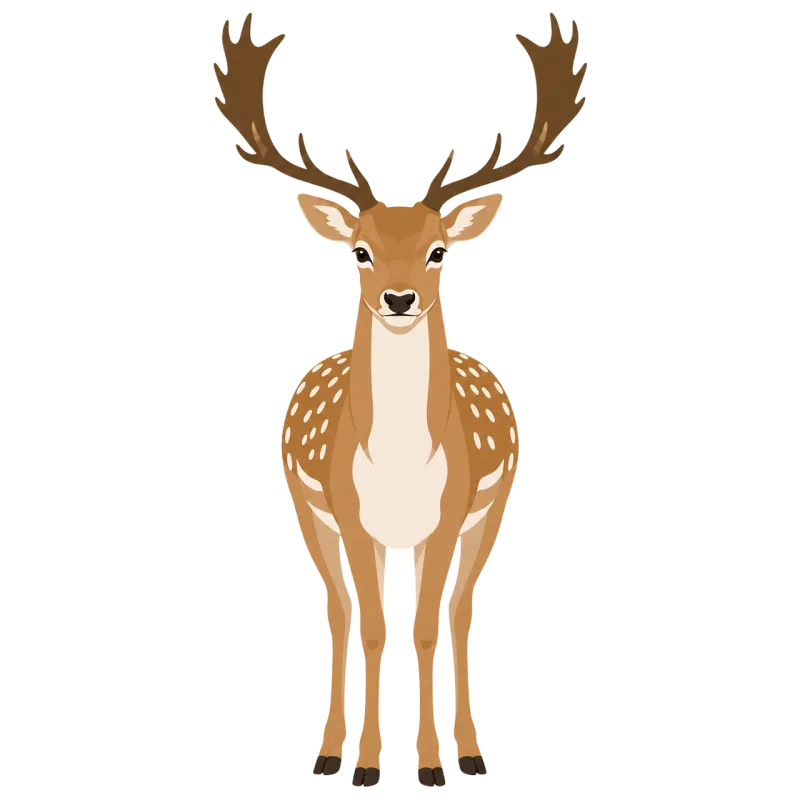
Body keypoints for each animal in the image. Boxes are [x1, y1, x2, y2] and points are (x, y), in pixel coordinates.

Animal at [214, 12, 586, 788]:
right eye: (358, 250)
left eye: (440, 250)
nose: (399, 297)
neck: (399, 466)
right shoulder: (347, 512)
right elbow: (375, 624)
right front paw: (368, 765)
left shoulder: (452, 512)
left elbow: (423, 624)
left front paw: (433, 766)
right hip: (306, 506)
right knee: (339, 609)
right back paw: (330, 750)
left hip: (492, 506)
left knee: (461, 608)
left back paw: (469, 750)